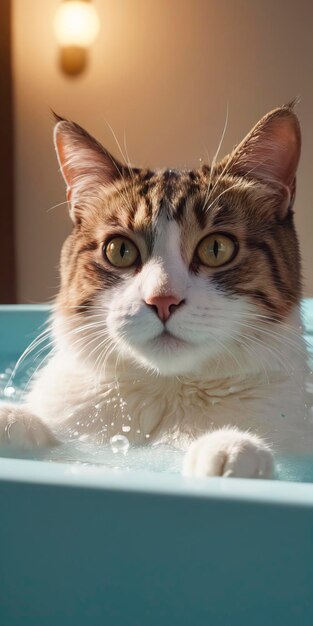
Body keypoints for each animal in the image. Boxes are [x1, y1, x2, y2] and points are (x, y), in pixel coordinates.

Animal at [0, 102, 312, 476]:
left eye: (217, 248)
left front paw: (231, 448)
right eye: (120, 250)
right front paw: (11, 421)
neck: (167, 391)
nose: (162, 300)